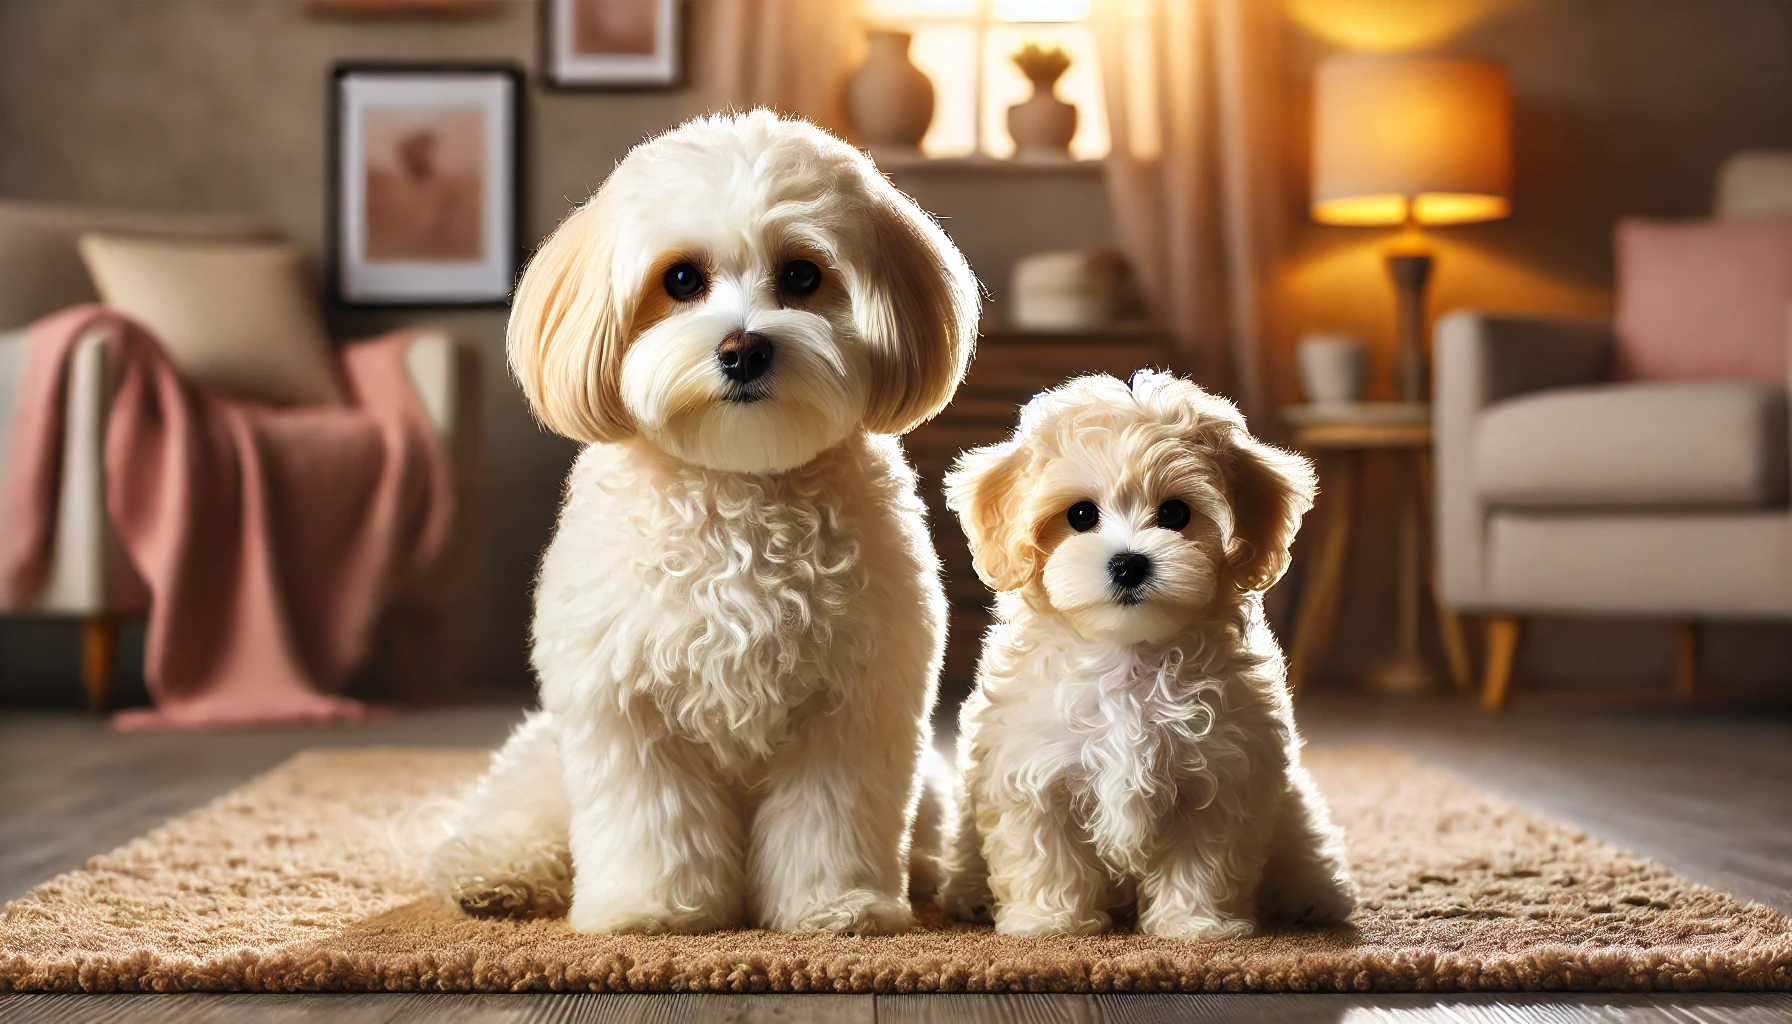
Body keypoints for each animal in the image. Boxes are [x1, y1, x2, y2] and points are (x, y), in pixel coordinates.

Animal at [424, 110, 974, 939]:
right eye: (681, 279)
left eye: (803, 275)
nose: (743, 350)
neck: (737, 484)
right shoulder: (627, 708)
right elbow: (650, 824)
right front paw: (652, 909)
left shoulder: (850, 709)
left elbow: (831, 821)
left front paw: (837, 906)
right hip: (543, 759)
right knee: (515, 818)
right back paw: (495, 879)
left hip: (927, 786)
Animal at [939, 373, 1354, 939]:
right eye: (1081, 514)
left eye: (1176, 513)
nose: (1130, 563)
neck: (1127, 659)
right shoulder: (1031, 771)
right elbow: (1044, 853)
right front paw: (1051, 922)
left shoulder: (1219, 777)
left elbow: (1203, 860)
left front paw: (1197, 925)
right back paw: (969, 896)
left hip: (1291, 806)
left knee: (1303, 840)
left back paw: (1312, 896)